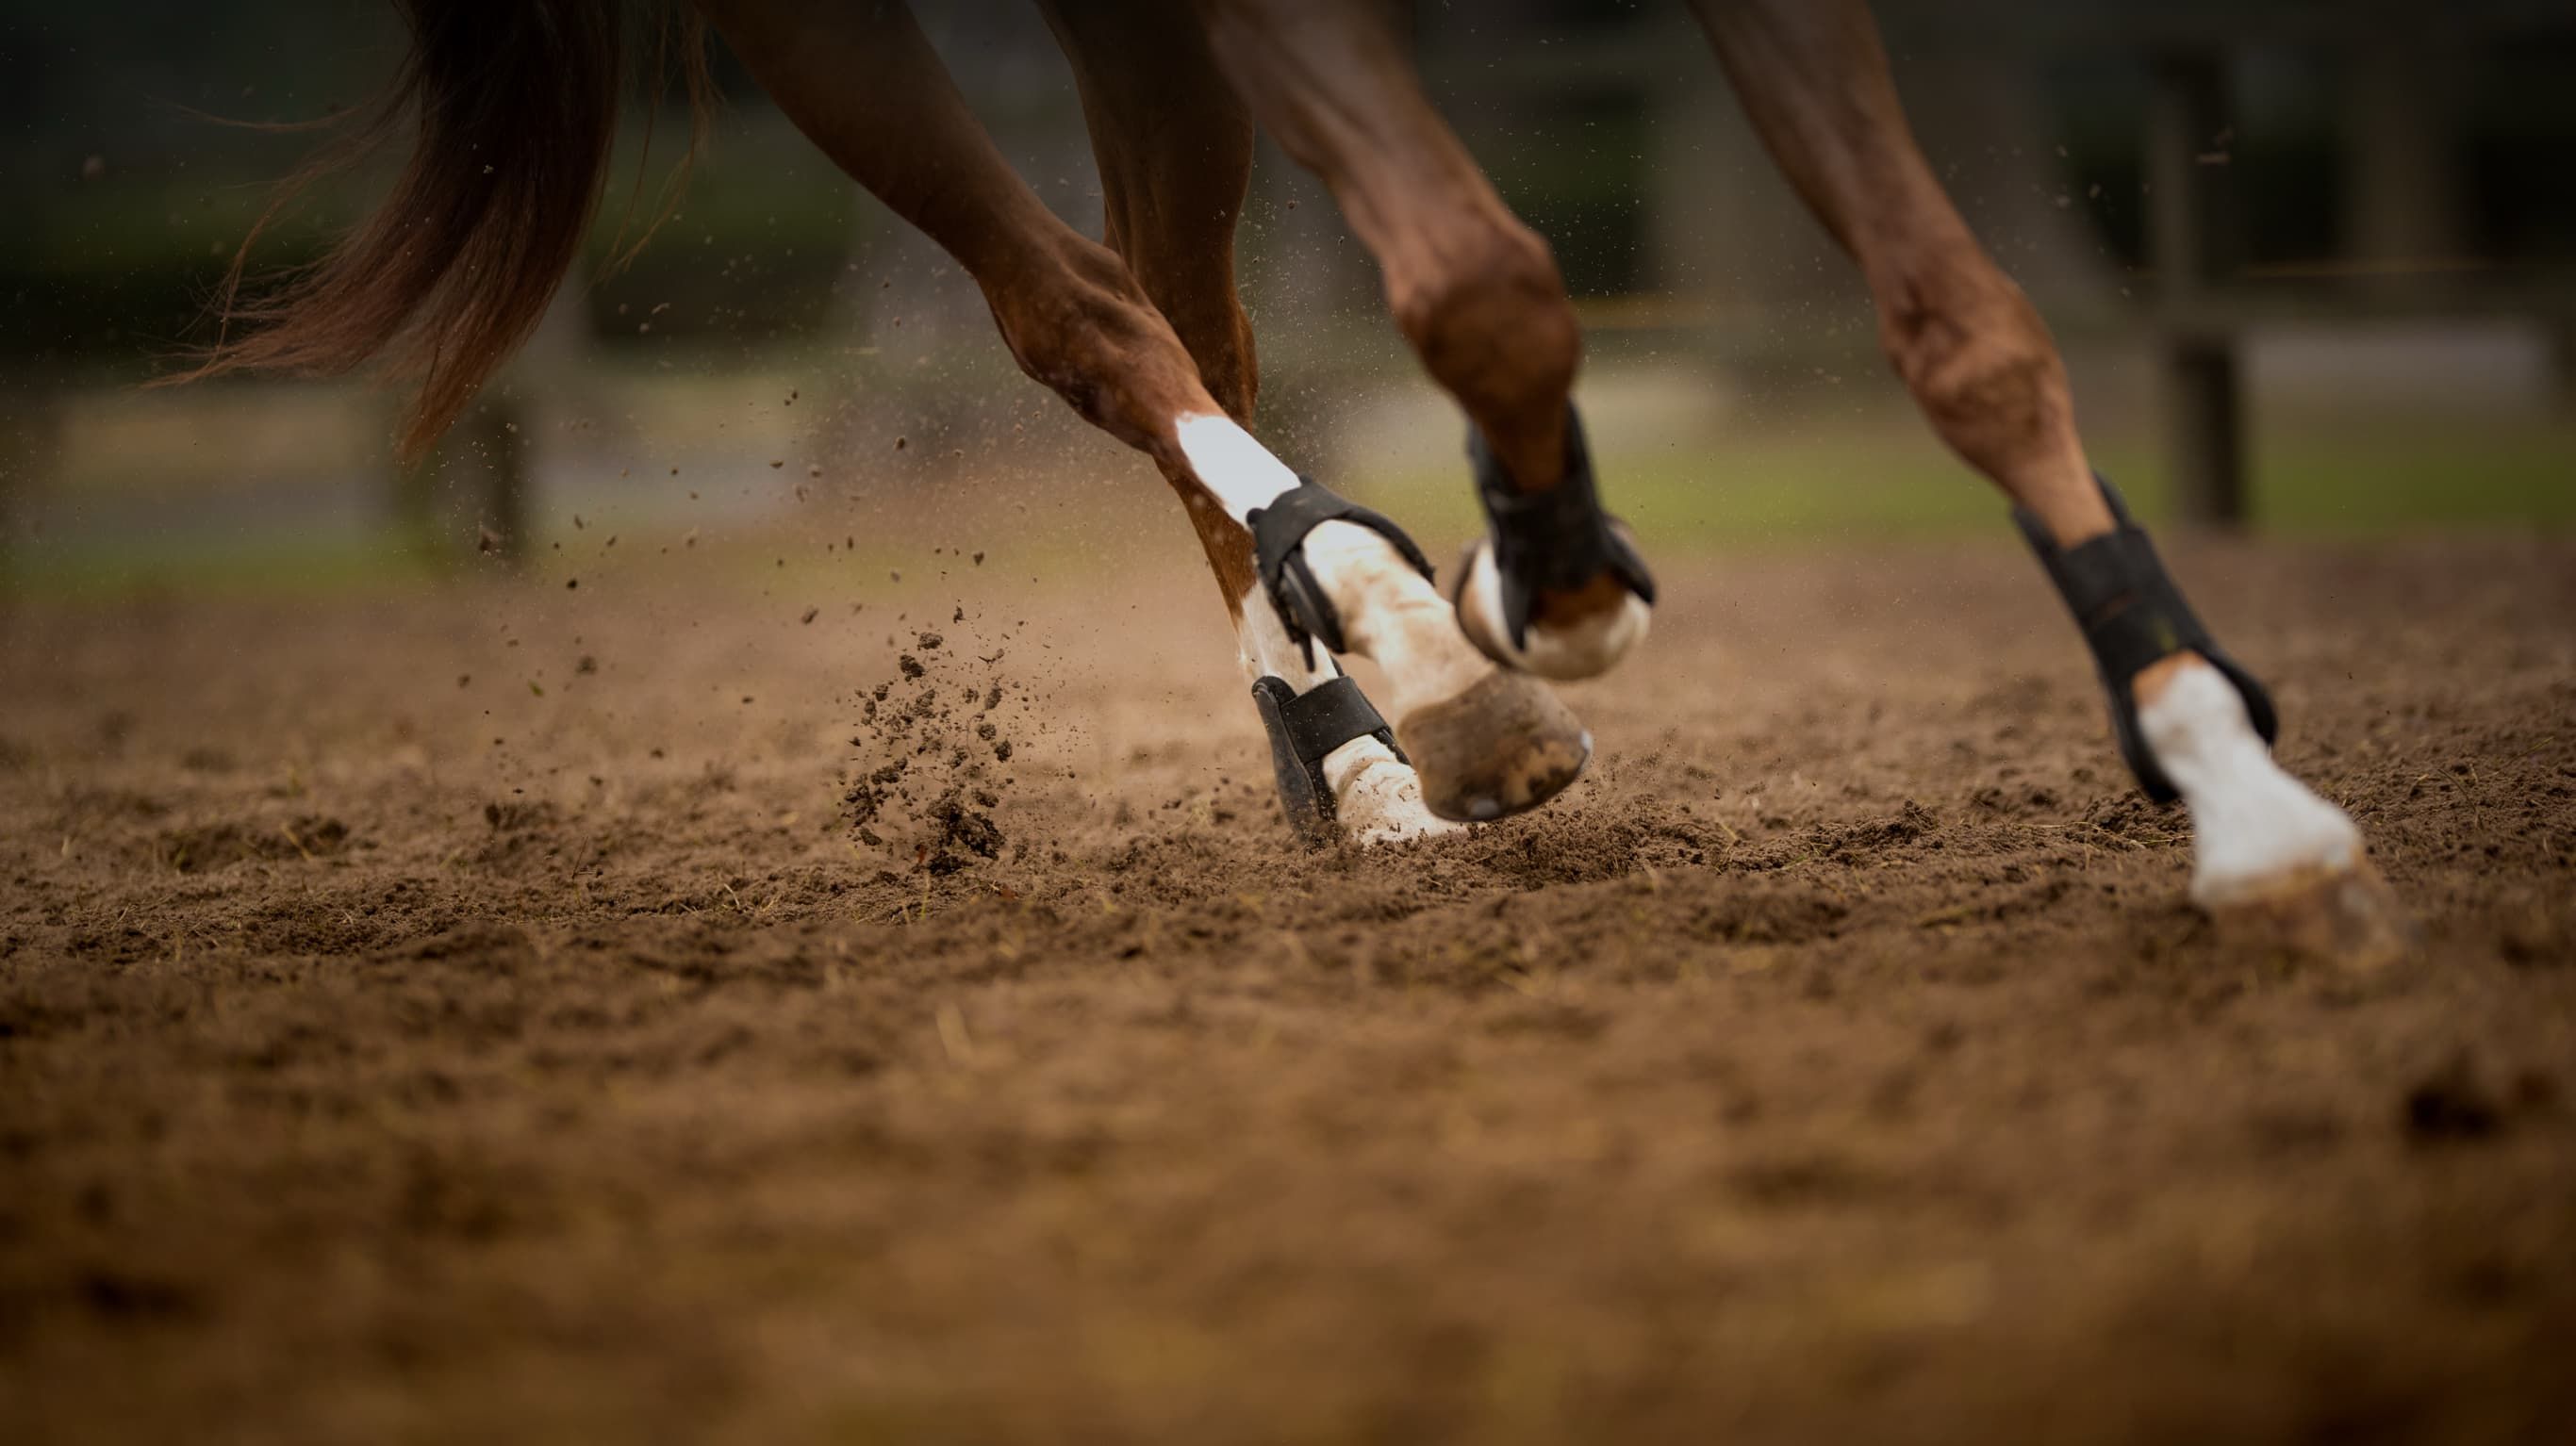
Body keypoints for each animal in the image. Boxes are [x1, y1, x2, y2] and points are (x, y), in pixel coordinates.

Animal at [178, 0, 2407, 963]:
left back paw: (1347, 739)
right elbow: (1485, 284)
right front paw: (1511, 597)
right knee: (1079, 311)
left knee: (1178, 309)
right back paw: (1406, 655)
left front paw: (2225, 771)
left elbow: (1968, 326)